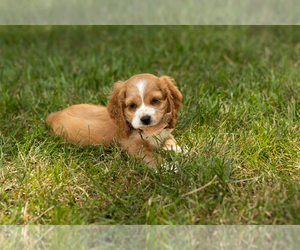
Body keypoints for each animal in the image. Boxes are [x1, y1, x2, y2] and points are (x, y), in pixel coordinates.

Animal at [45, 73, 183, 167]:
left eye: (155, 101)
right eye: (132, 106)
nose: (145, 119)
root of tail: (53, 116)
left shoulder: (164, 134)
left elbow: (170, 140)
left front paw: (181, 150)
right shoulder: (133, 146)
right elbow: (152, 157)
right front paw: (168, 167)